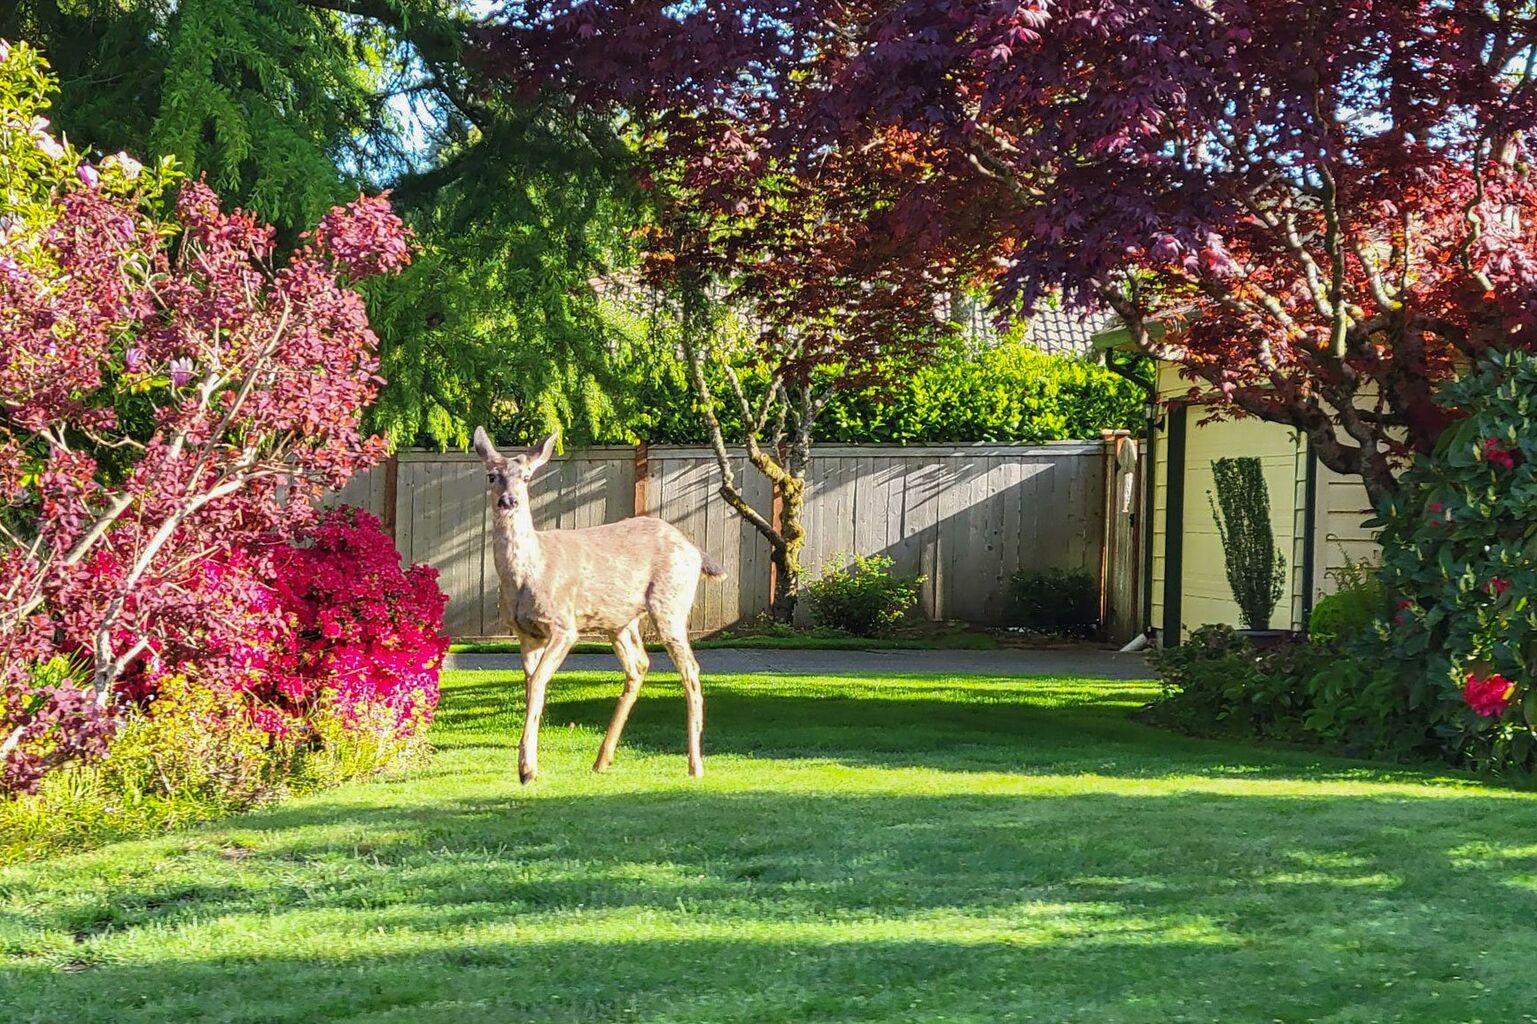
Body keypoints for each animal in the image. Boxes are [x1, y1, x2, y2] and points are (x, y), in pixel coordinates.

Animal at [473, 428, 725, 783]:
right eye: (491, 475)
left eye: (526, 476)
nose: (508, 500)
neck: (529, 573)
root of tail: (694, 550)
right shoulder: (525, 633)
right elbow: (531, 685)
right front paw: (527, 768)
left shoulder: (564, 625)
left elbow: (537, 682)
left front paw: (527, 768)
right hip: (619, 620)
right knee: (639, 664)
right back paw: (602, 759)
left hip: (670, 603)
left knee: (690, 668)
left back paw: (695, 765)